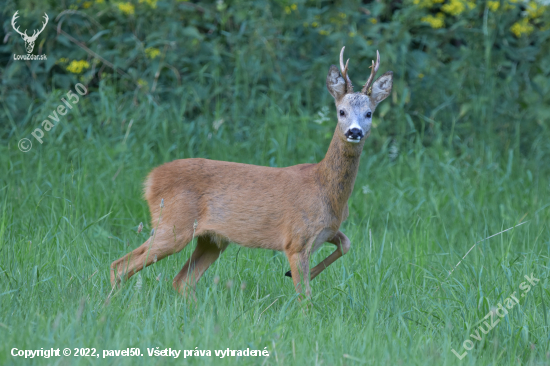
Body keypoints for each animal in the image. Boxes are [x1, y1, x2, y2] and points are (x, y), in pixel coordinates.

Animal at [111, 46, 392, 298]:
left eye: (369, 113)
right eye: (341, 111)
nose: (354, 131)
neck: (325, 189)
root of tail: (151, 180)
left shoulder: (328, 230)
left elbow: (346, 244)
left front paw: (299, 274)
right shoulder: (296, 239)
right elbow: (305, 296)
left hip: (211, 239)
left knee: (182, 281)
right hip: (173, 225)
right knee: (120, 266)